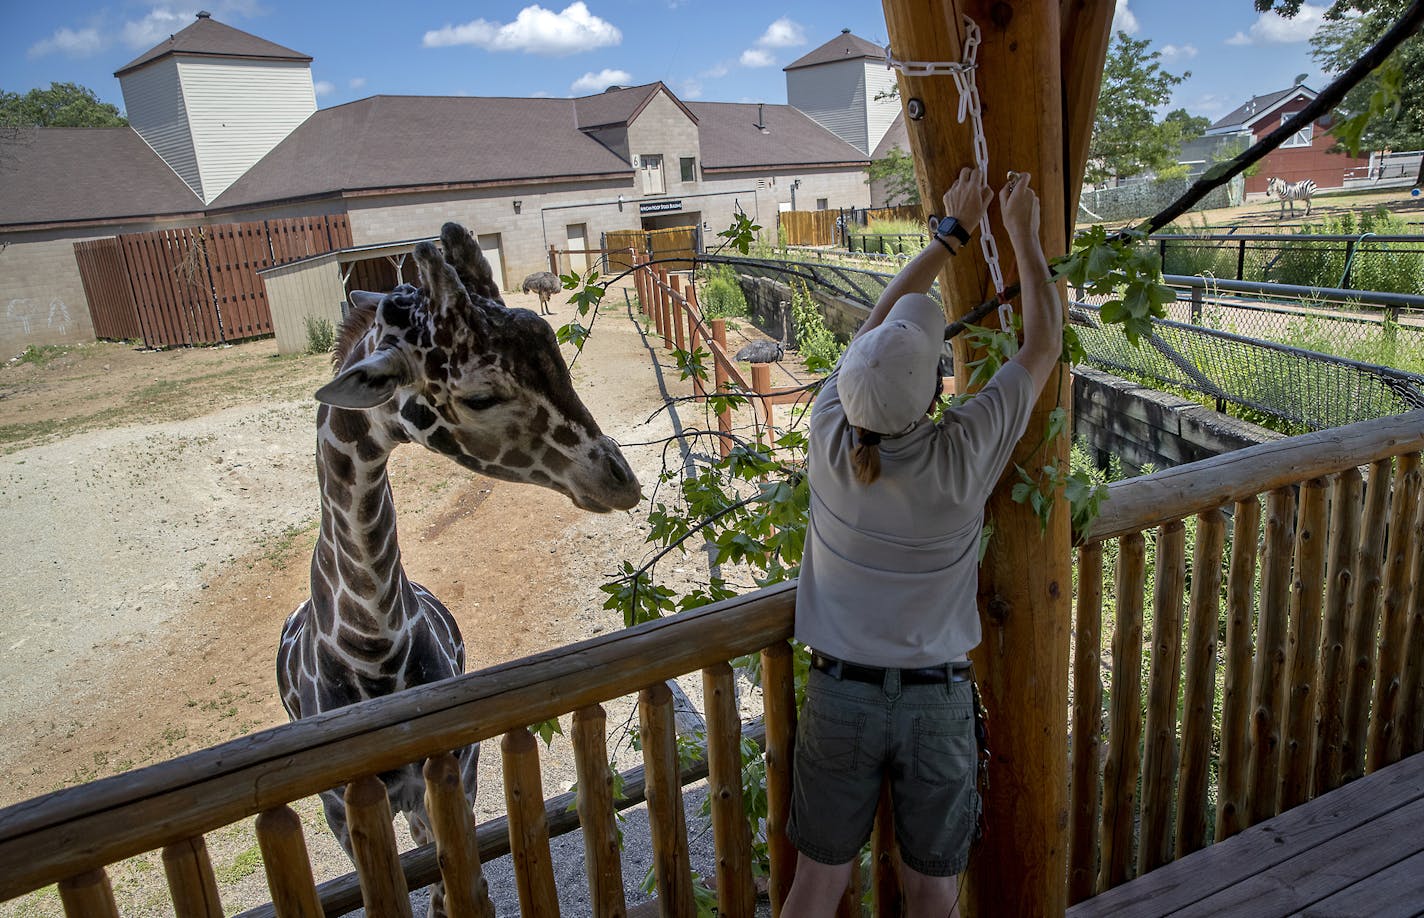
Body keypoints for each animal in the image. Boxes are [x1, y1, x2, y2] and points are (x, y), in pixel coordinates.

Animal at [276, 222, 640, 916]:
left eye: (550, 346)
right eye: (479, 395)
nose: (620, 479)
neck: (373, 655)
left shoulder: (458, 771)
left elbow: (458, 890)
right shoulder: (340, 809)